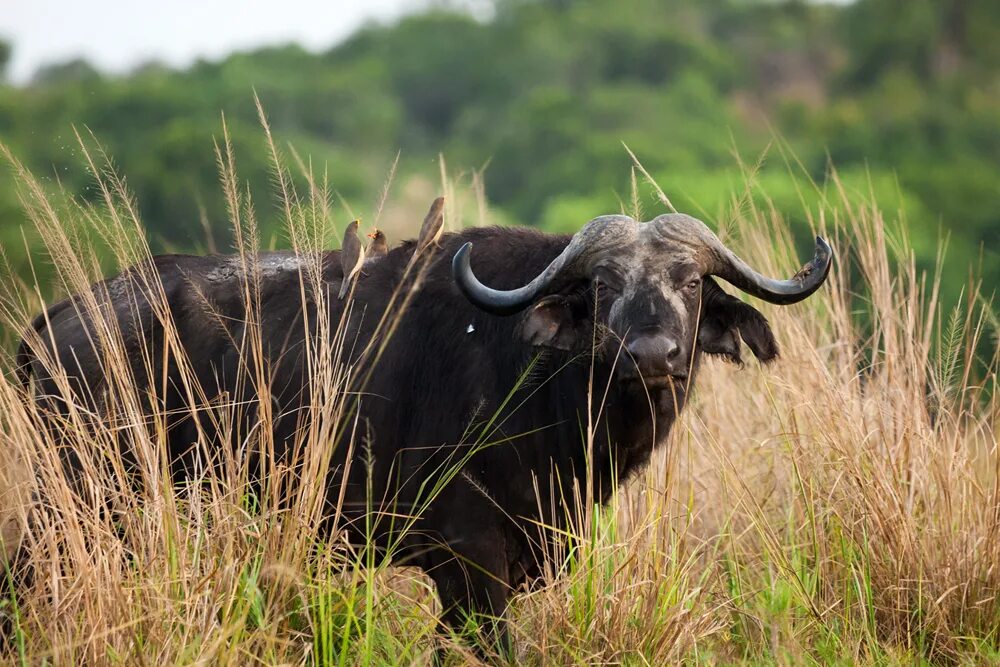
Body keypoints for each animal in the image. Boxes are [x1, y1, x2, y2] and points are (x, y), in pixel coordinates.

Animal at [13, 197, 828, 648]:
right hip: (80, 504)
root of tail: (54, 324)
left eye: (690, 283)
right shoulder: (470, 561)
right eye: (601, 286)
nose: (651, 355)